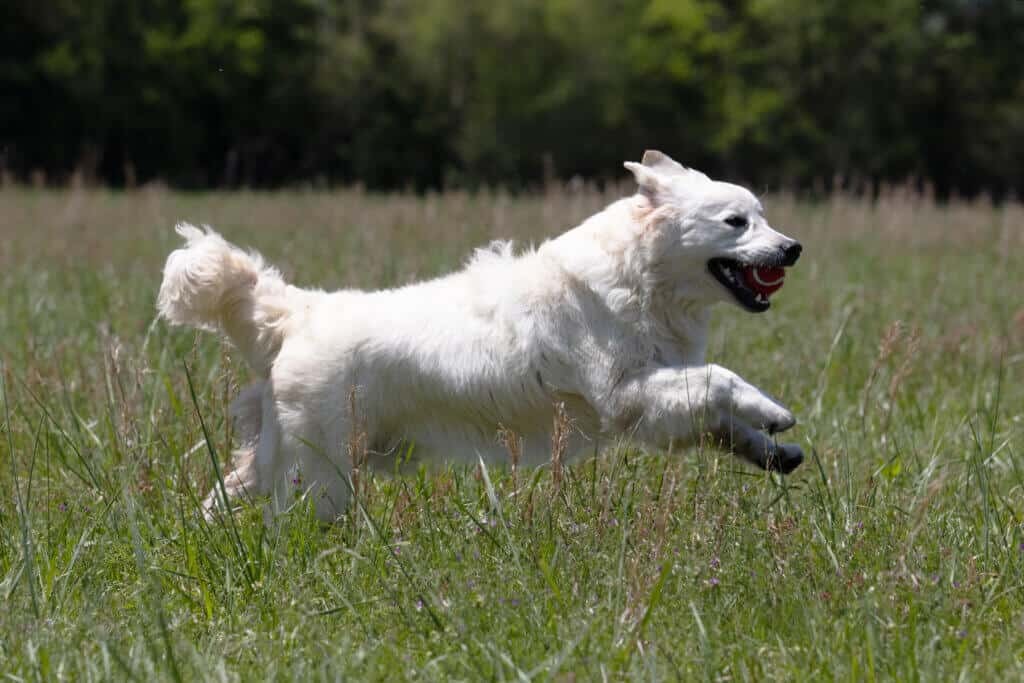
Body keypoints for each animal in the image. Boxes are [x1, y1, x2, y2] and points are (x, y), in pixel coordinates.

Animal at [157, 150, 798, 524]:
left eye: (764, 216)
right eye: (736, 222)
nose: (792, 248)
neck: (641, 279)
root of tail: (300, 310)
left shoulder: (657, 406)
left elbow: (719, 420)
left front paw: (773, 450)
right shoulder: (628, 393)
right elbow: (721, 380)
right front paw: (773, 410)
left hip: (278, 457)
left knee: (224, 493)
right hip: (320, 473)